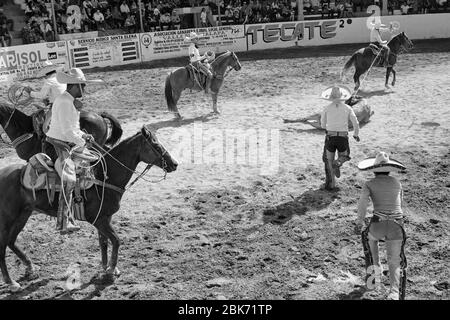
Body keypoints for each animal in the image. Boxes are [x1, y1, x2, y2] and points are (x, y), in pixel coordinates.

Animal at [0, 126, 178, 292]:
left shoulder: (105, 218)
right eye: (155, 145)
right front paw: (111, 271)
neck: (103, 178)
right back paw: (11, 282)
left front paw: (106, 268)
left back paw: (30, 267)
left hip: (23, 214)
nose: (174, 164)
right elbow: (116, 240)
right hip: (8, 219)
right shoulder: (98, 220)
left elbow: (103, 242)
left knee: (11, 241)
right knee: (3, 245)